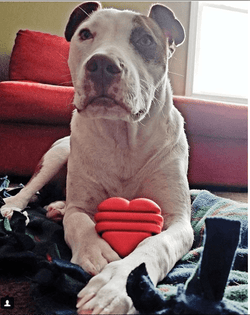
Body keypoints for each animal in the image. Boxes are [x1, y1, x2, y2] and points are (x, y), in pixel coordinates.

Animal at [0, 3, 193, 315]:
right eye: (85, 34)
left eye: (145, 40)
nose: (102, 64)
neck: (124, 138)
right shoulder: (80, 206)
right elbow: (80, 222)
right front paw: (97, 252)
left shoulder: (178, 221)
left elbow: (155, 246)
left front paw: (115, 286)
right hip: (58, 152)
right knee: (29, 189)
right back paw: (15, 205)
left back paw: (55, 208)